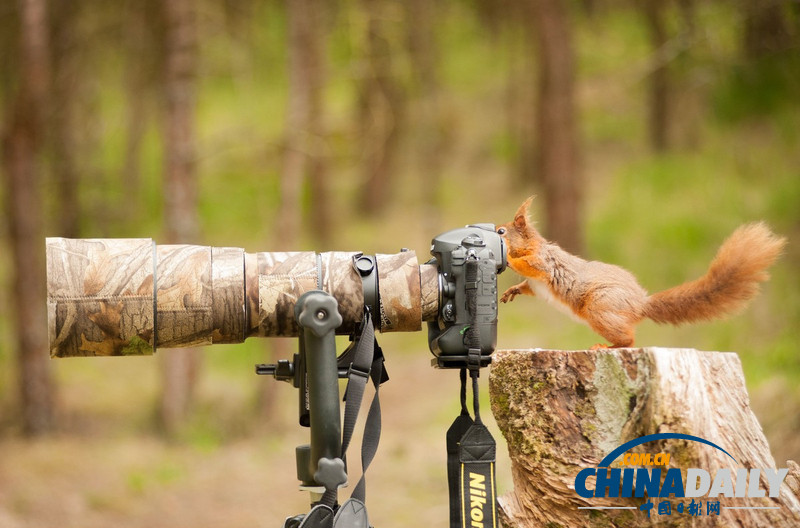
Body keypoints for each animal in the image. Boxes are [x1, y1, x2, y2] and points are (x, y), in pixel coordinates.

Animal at [496, 196, 784, 348]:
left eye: (501, 231)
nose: (493, 231)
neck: (532, 245)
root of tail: (639, 305)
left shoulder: (543, 263)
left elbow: (528, 265)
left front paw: (508, 256)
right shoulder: (535, 283)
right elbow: (527, 286)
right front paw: (512, 290)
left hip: (600, 307)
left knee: (628, 340)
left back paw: (606, 346)